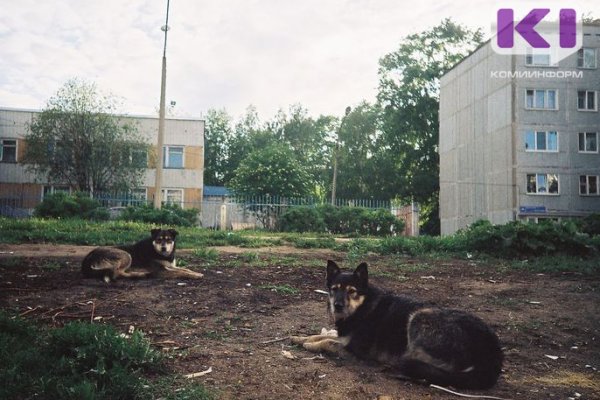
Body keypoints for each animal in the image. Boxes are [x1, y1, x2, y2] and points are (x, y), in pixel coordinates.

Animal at [290, 260, 502, 390]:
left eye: (352, 291)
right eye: (334, 289)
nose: (338, 306)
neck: (363, 307)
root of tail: (494, 354)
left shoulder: (354, 350)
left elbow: (327, 341)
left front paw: (309, 345)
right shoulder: (343, 336)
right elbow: (323, 335)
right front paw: (299, 338)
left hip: (420, 317)